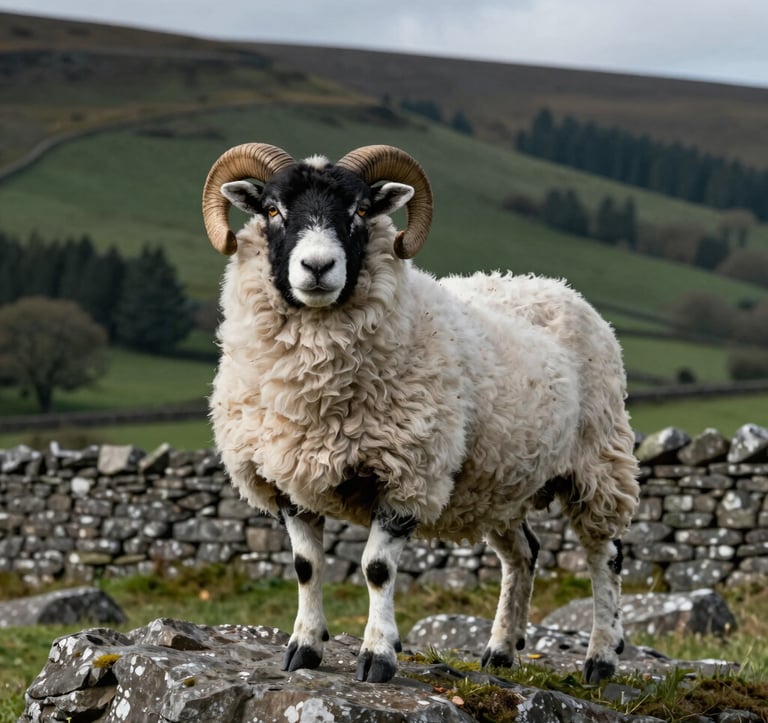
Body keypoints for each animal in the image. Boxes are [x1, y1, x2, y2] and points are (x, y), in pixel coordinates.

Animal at [202, 143, 640, 684]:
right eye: (272, 211)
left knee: (606, 556)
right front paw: (303, 648)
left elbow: (377, 570)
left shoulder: (407, 473)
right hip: (501, 479)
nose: (318, 267)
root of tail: (553, 285)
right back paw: (501, 651)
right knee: (524, 555)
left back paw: (601, 657)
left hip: (598, 463)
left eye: (360, 211)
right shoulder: (285, 476)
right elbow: (306, 566)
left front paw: (378, 656)